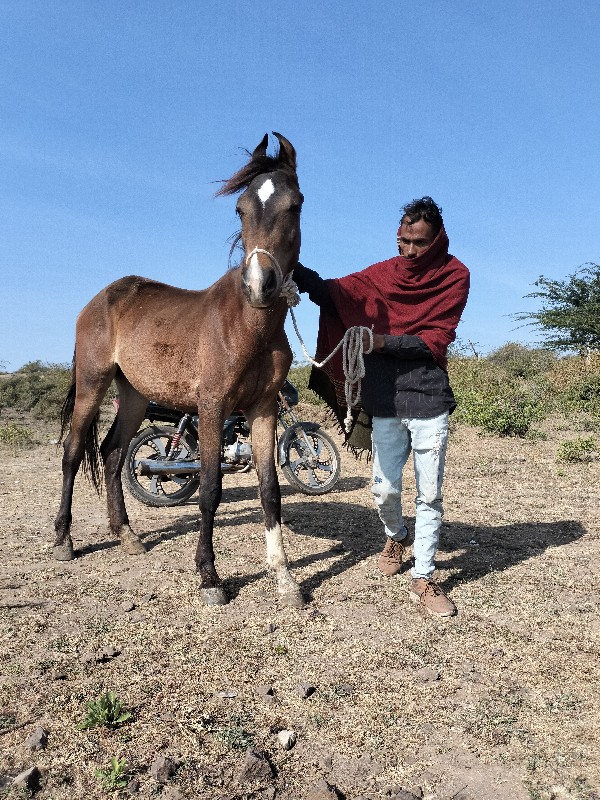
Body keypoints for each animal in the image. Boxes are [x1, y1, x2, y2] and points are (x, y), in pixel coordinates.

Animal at [53, 133, 304, 608]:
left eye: (295, 205)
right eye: (240, 208)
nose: (259, 285)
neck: (247, 326)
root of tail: (101, 298)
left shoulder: (263, 409)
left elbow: (270, 491)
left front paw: (284, 579)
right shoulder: (212, 407)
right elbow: (209, 489)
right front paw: (209, 577)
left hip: (133, 395)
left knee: (113, 453)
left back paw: (127, 535)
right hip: (93, 384)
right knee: (74, 453)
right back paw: (63, 540)